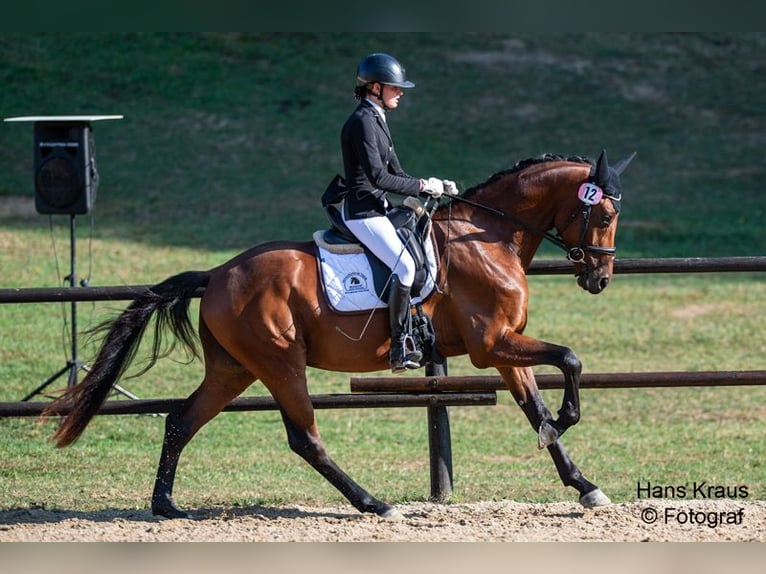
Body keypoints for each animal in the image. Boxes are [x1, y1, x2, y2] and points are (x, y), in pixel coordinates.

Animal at [45, 148, 640, 520]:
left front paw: (585, 485)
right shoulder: (490, 344)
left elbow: (535, 406)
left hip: (234, 369)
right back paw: (375, 504)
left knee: (181, 420)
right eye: (604, 215)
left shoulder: (502, 348)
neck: (488, 235)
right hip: (280, 362)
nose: (600, 278)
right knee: (305, 438)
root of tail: (216, 274)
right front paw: (566, 420)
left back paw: (166, 505)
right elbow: (570, 358)